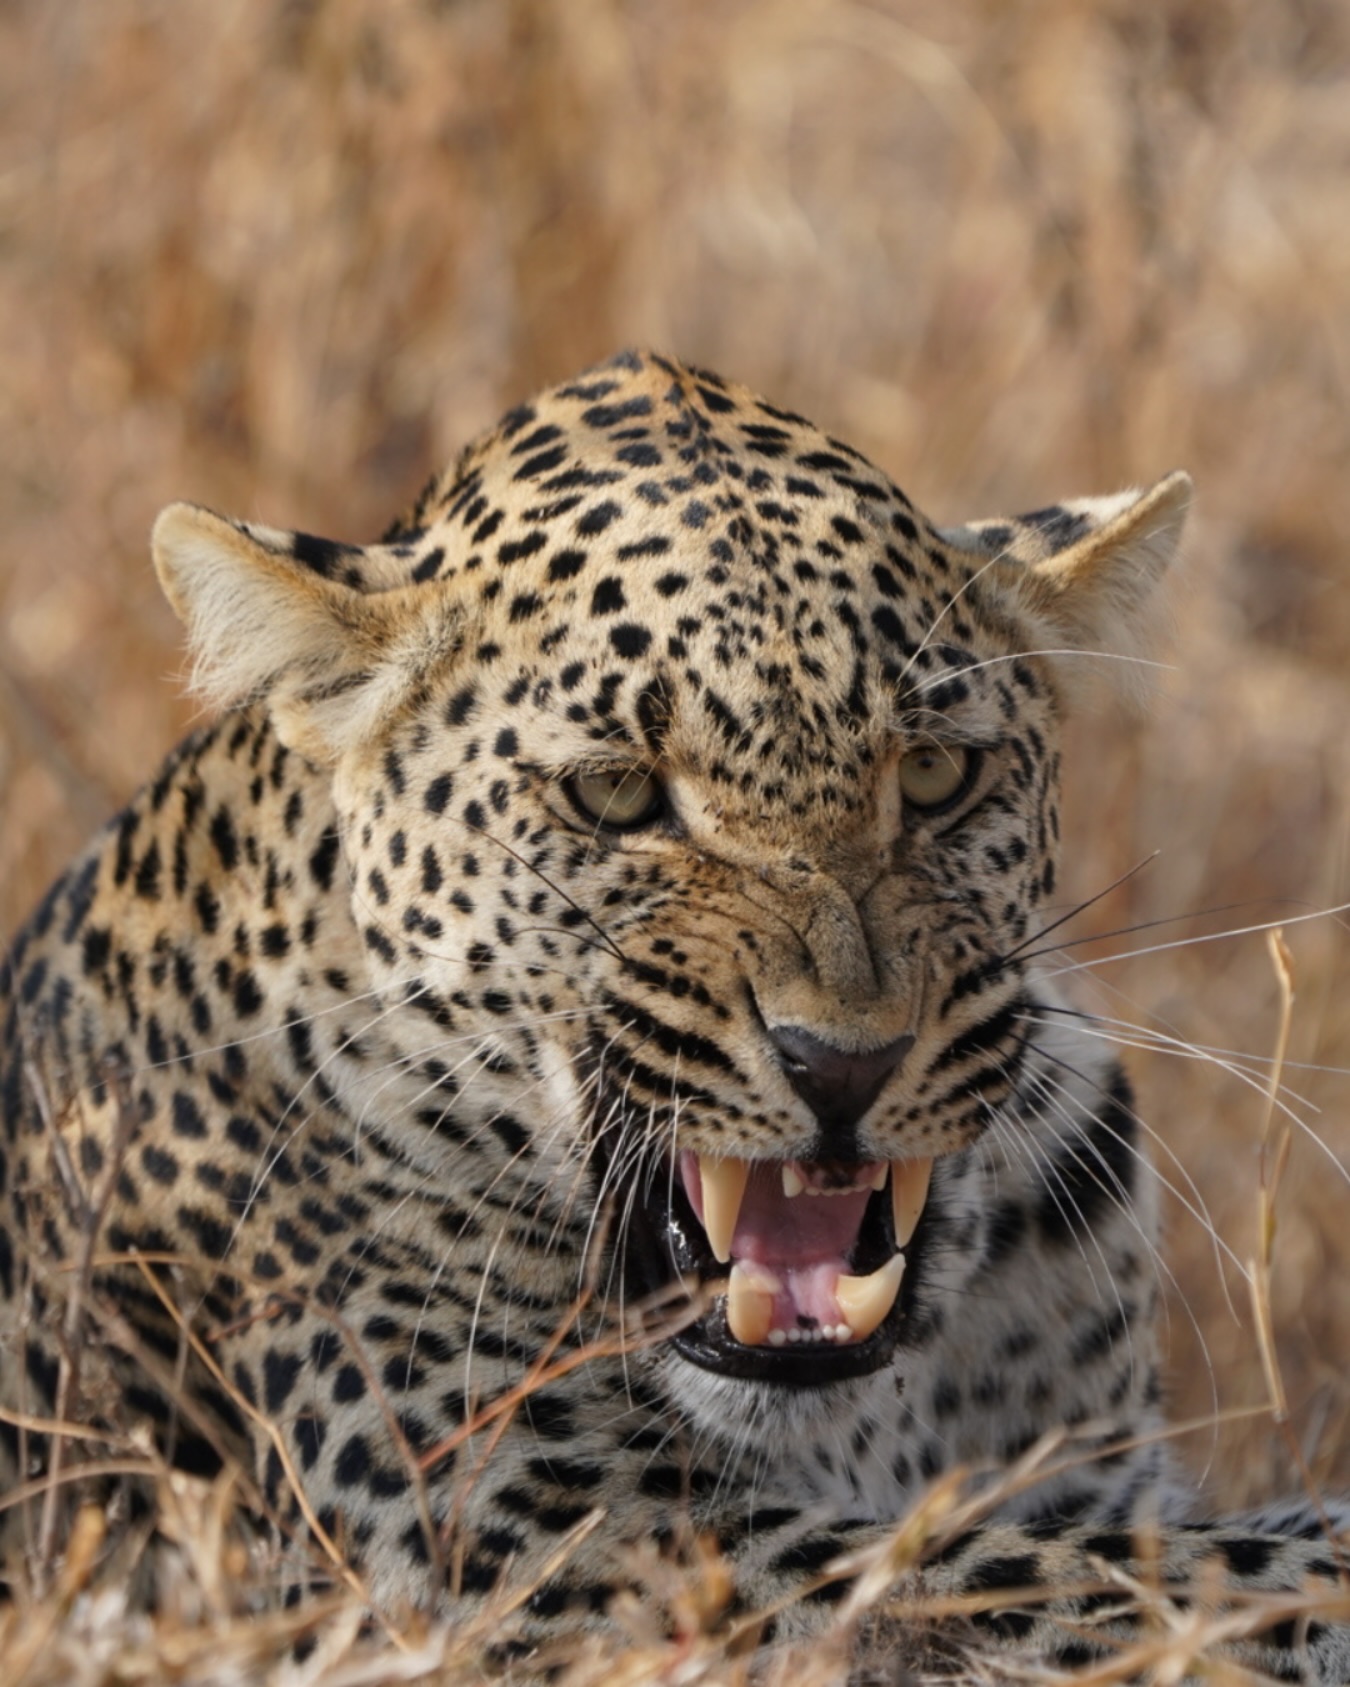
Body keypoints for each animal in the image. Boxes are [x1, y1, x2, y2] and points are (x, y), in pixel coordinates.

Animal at [2, 348, 1348, 1679]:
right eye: (615, 796)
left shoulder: (1097, 1474)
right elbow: (1139, 1584)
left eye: (934, 774)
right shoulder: (544, 1549)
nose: (842, 1065)